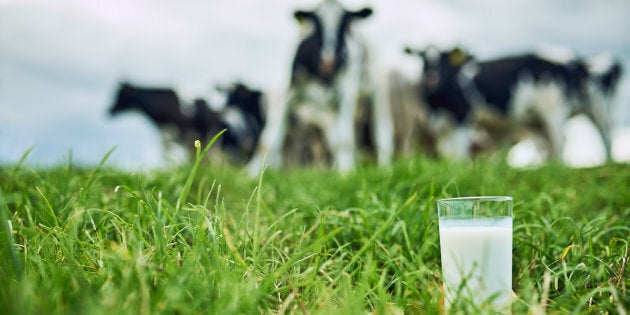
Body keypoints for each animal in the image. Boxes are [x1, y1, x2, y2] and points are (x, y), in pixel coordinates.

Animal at [248, 0, 392, 175]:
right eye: (317, 23)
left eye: (344, 23)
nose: (328, 62)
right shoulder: (287, 93)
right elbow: (267, 140)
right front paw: (251, 173)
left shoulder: (347, 93)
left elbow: (345, 138)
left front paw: (346, 173)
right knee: (334, 139)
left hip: (378, 90)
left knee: (382, 131)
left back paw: (384, 168)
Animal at [408, 47, 624, 160]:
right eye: (423, 60)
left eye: (444, 59)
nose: (431, 78)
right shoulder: (441, 125)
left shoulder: (463, 116)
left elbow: (459, 152)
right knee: (550, 144)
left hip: (573, 110)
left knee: (593, 137)